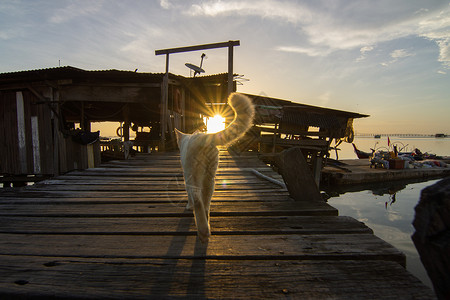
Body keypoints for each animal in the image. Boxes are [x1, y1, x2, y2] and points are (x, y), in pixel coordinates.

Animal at [175, 92, 255, 243]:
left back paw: (202, 232)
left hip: (194, 174)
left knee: (198, 200)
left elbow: (189, 195)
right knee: (206, 204)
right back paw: (207, 229)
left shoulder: (186, 176)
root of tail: (202, 137)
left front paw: (188, 206)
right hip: (210, 179)